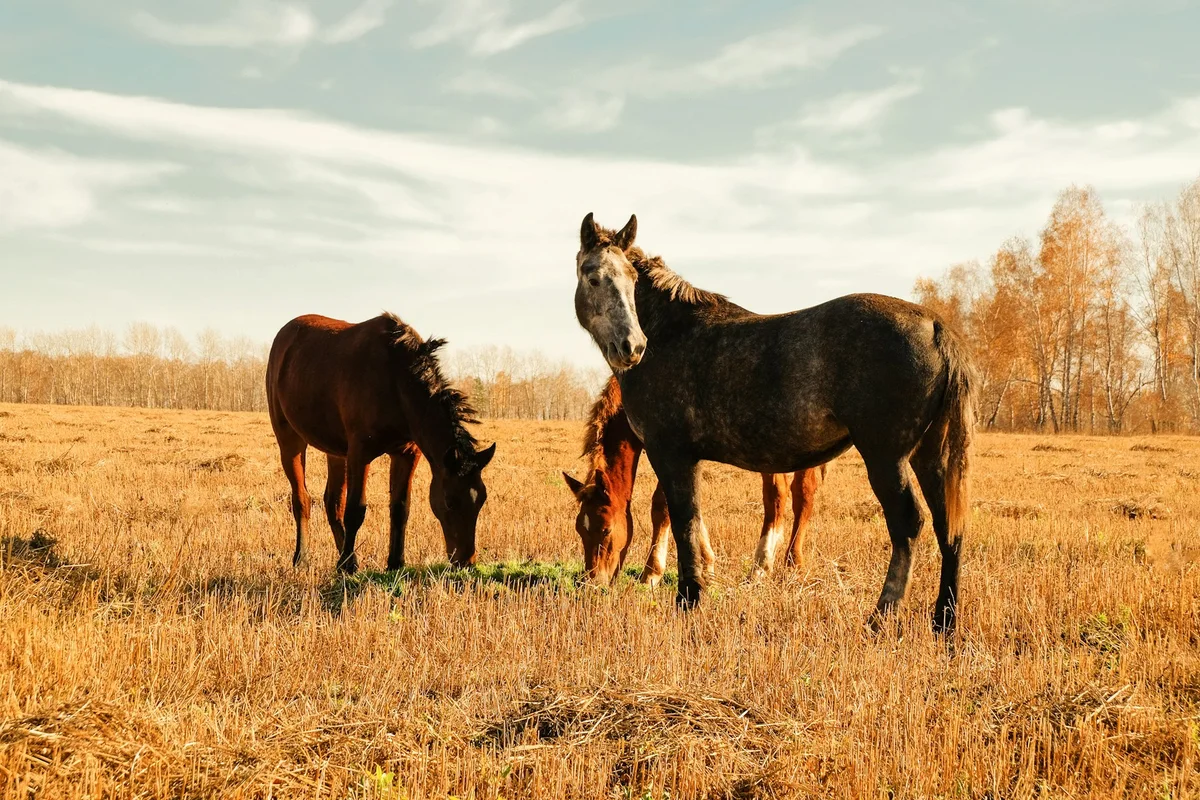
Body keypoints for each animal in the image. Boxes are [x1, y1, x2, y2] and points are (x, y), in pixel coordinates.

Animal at [266, 313, 496, 574]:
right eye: (450, 501)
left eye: (481, 499)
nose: (466, 562)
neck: (396, 381)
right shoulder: (359, 453)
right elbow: (355, 510)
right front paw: (347, 567)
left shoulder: (406, 454)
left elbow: (400, 508)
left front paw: (395, 563)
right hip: (290, 441)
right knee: (301, 499)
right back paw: (304, 558)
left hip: (335, 452)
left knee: (332, 502)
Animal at [563, 377, 828, 586]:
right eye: (579, 529)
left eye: (606, 529)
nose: (592, 582)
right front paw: (708, 567)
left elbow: (662, 506)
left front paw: (651, 574)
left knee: (799, 495)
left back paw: (786, 565)